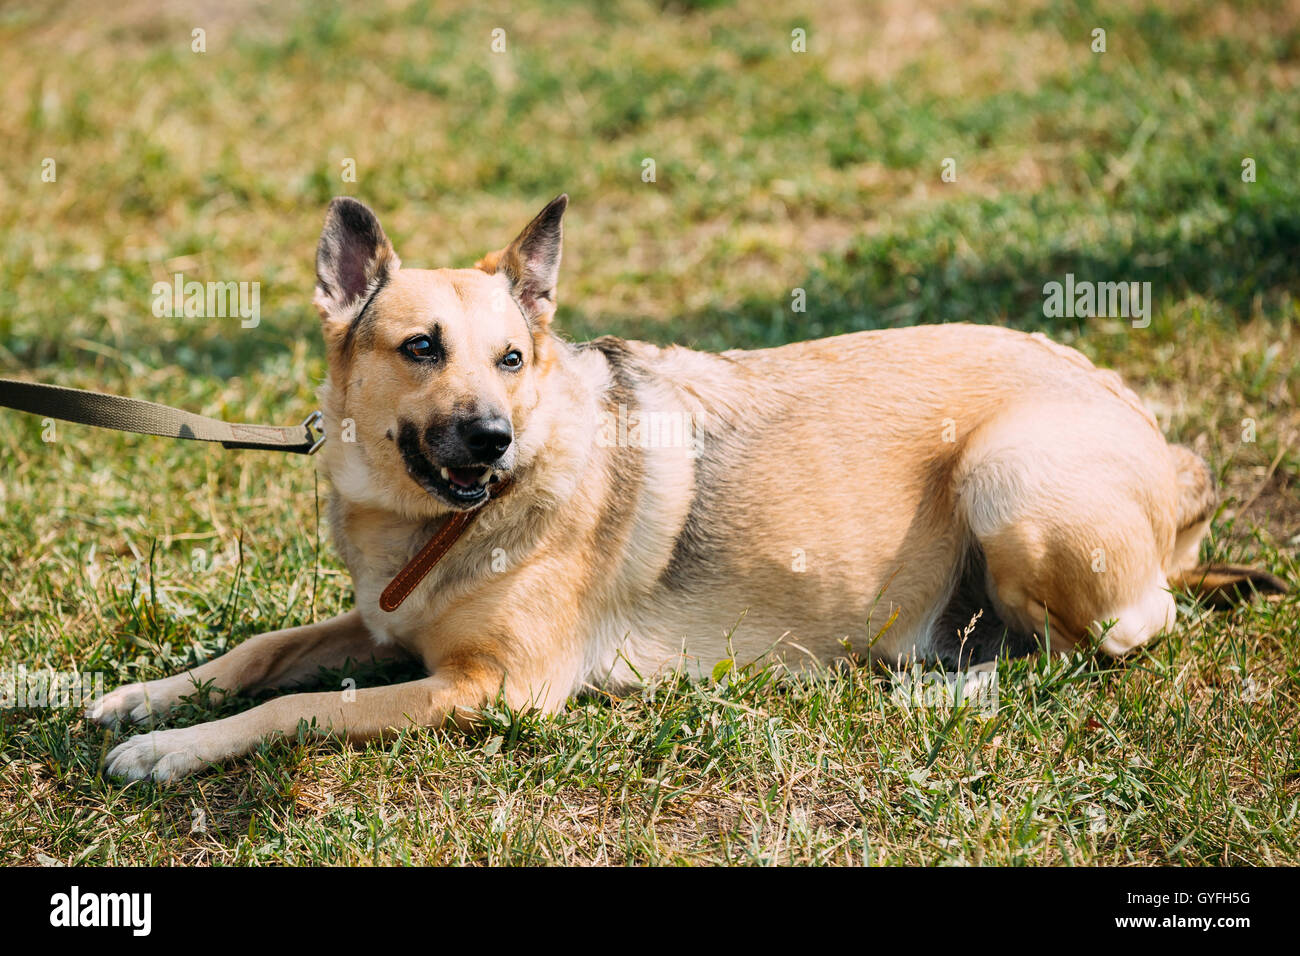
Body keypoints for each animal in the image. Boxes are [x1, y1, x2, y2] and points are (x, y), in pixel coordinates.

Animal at [89, 196, 1279, 785]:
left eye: (513, 358)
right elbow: (265, 652)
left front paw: (164, 750)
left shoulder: (495, 688)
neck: (432, 527)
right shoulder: (385, 625)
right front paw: (148, 698)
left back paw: (932, 687)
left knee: (1115, 637)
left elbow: (300, 705)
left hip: (1007, 476)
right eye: (420, 346)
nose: (492, 439)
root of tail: (1163, 447)